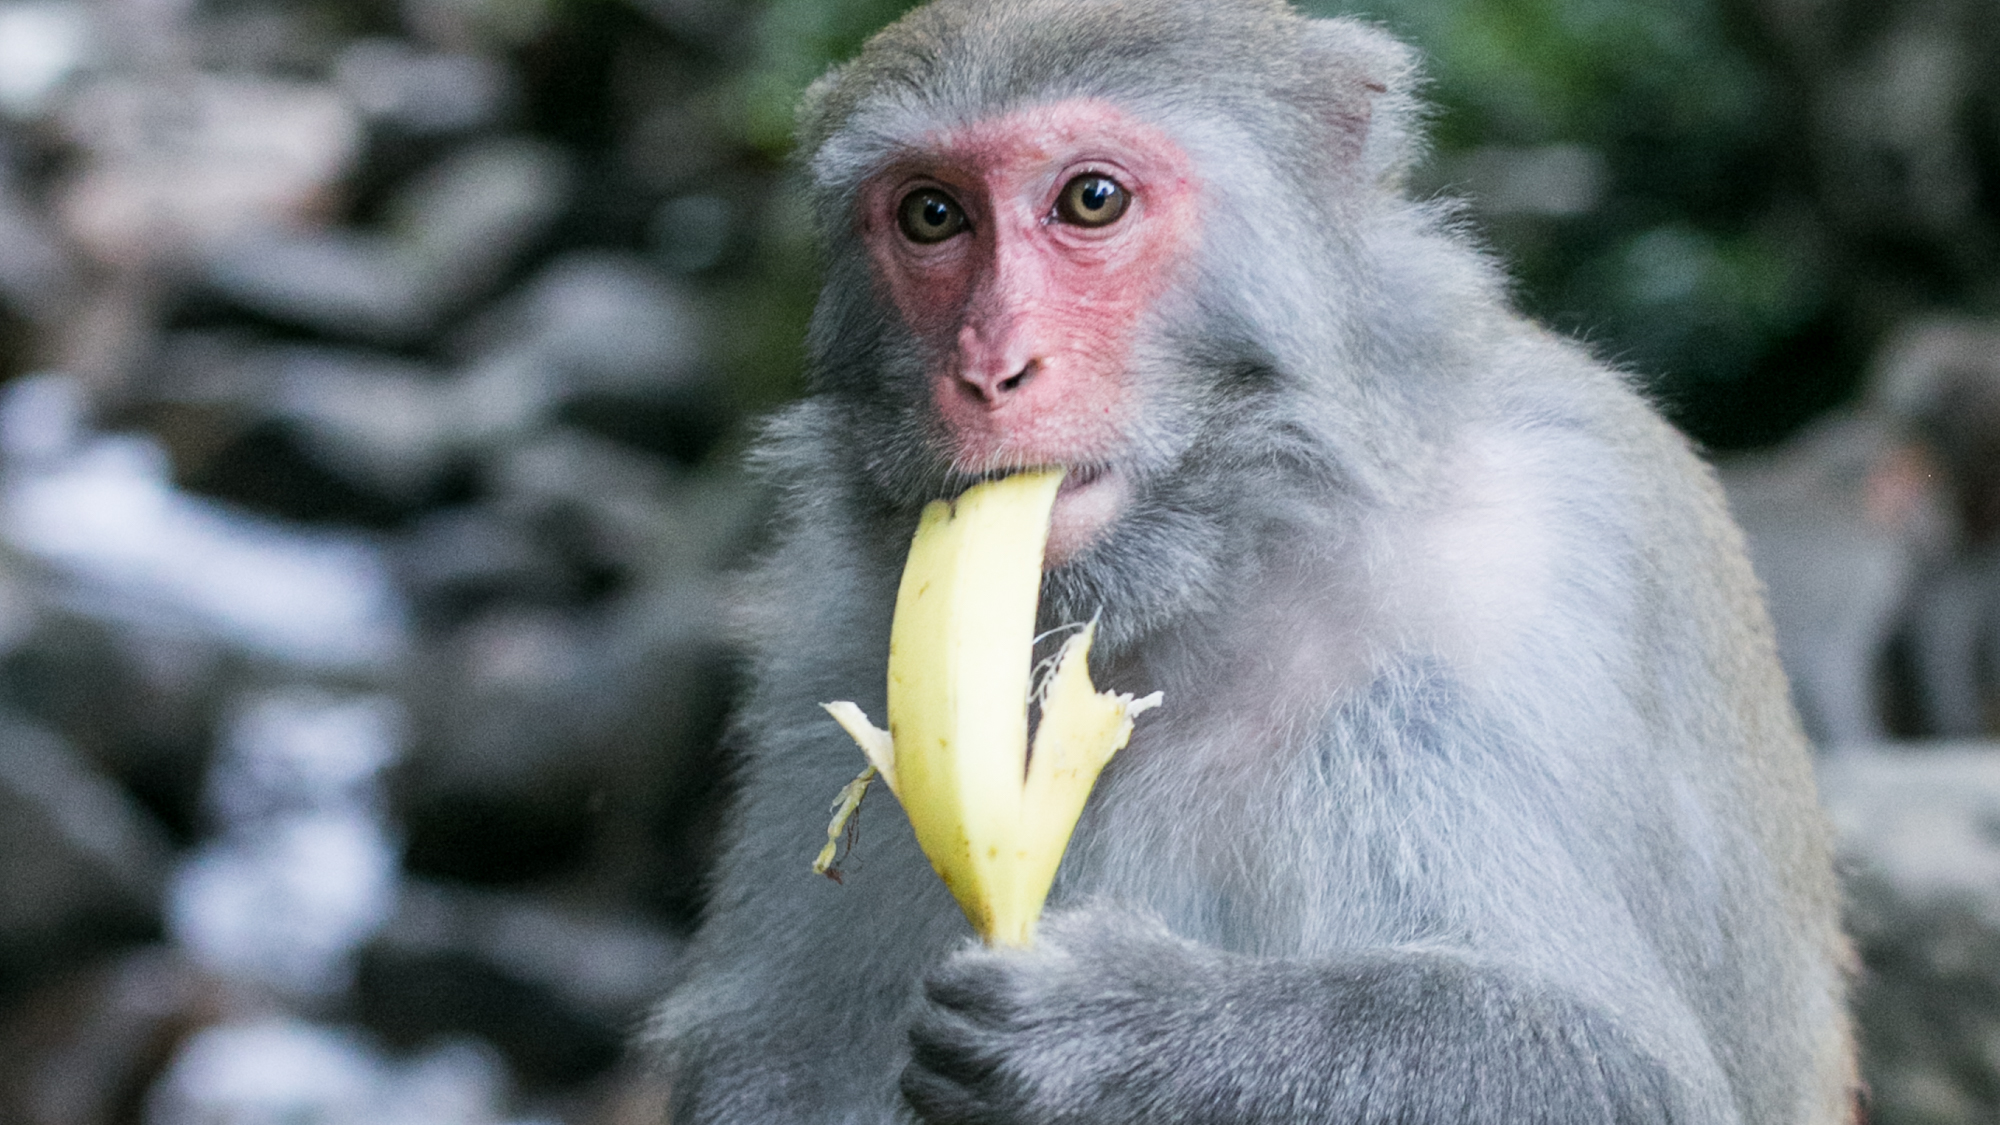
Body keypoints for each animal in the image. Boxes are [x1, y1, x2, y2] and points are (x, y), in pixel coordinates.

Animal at [656, 2, 1856, 1120]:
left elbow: (1620, 1065)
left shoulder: (1523, 582)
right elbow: (779, 1053)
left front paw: (1112, 1033)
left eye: (1091, 201)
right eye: (930, 215)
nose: (988, 369)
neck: (1226, 551)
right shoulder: (831, 626)